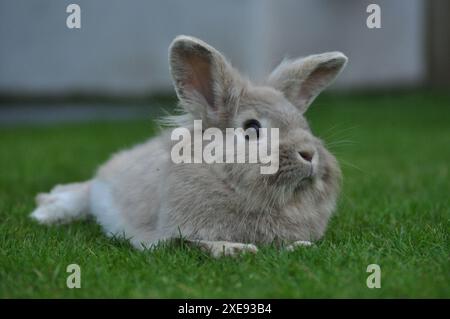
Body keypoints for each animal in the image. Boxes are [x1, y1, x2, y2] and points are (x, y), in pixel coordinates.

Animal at [30, 36, 348, 258]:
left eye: (304, 124)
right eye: (252, 128)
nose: (309, 154)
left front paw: (302, 247)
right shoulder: (175, 234)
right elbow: (195, 243)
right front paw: (236, 250)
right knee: (83, 193)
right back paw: (45, 211)